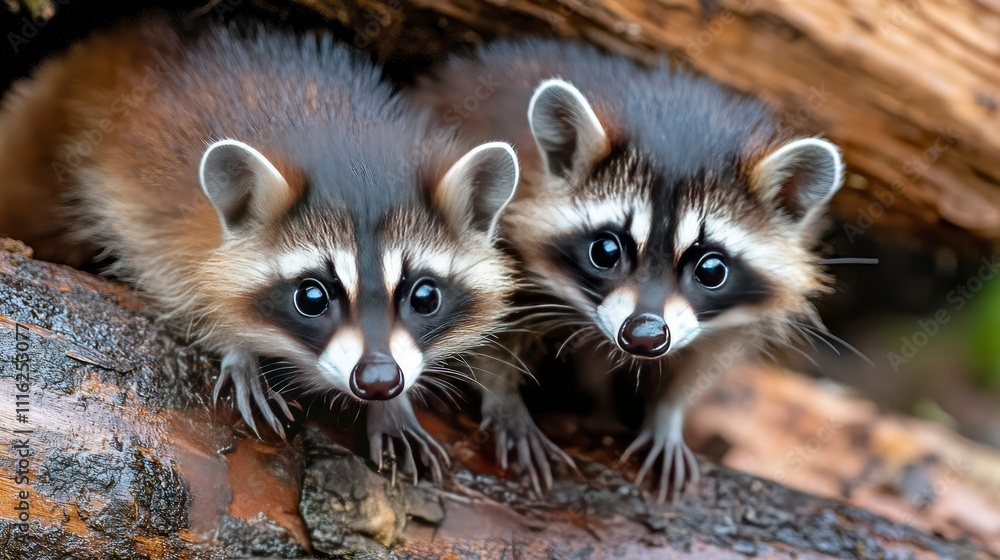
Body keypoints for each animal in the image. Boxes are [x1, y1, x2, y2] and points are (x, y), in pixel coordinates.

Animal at [0, 22, 520, 481]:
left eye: (425, 297)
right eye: (311, 297)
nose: (378, 380)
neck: (351, 154)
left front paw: (393, 406)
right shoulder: (160, 215)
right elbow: (172, 276)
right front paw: (235, 342)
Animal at [414, 40, 843, 499]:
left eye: (711, 270)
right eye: (605, 251)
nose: (644, 335)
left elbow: (704, 363)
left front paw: (667, 415)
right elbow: (488, 333)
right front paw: (505, 400)